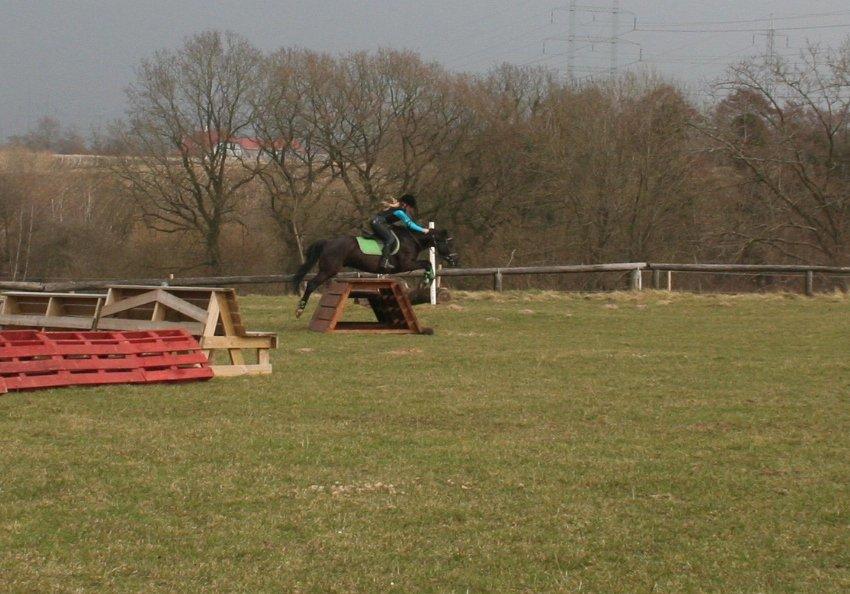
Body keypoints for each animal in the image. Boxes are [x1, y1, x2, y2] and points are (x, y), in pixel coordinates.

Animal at [290, 225, 454, 316]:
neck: (411, 240)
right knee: (311, 284)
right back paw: (299, 310)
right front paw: (427, 279)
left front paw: (428, 280)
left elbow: (427, 264)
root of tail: (328, 242)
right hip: (328, 270)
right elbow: (427, 263)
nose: (453, 258)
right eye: (445, 242)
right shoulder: (405, 265)